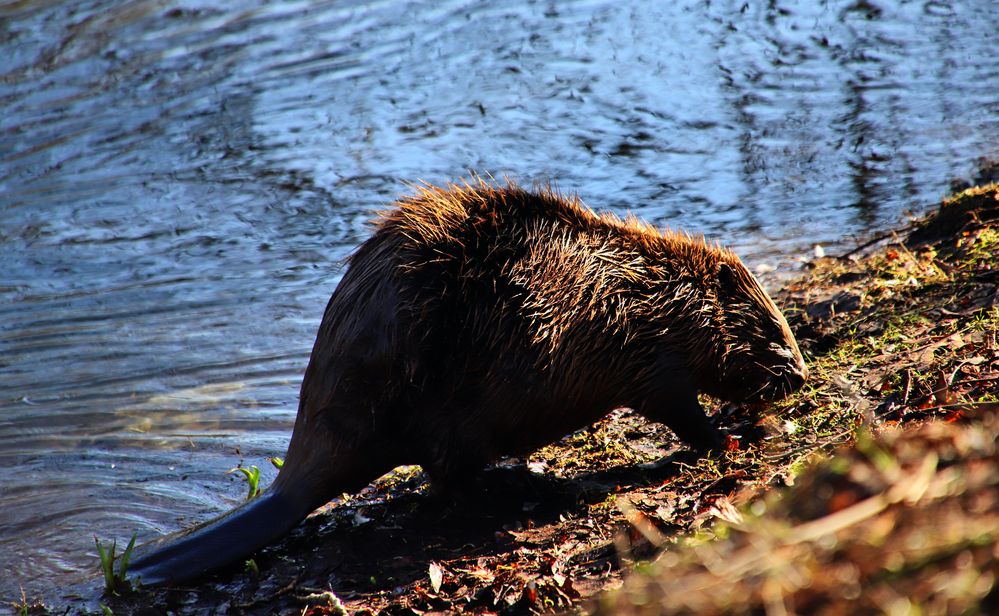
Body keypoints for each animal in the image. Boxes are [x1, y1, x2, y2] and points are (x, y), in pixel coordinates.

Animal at [129, 179, 808, 588]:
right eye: (772, 326)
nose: (801, 374)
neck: (653, 284)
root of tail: (289, 490)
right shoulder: (654, 353)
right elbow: (679, 409)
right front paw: (732, 438)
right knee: (452, 479)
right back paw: (550, 484)